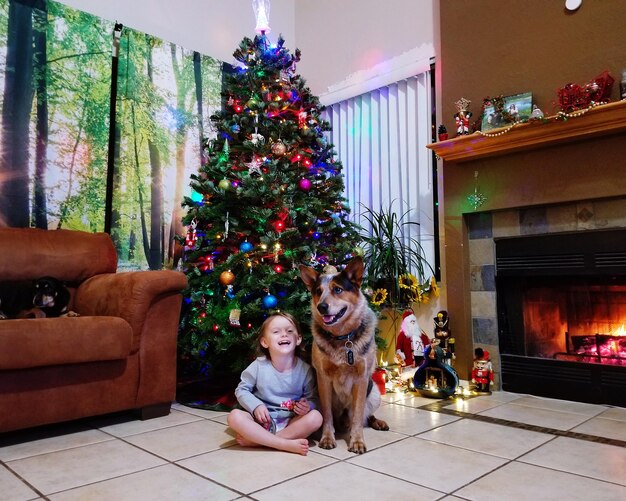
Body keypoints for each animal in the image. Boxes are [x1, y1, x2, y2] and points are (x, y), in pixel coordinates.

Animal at [298, 258, 386, 454]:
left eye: (337, 289)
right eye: (318, 291)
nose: (321, 307)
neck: (342, 338)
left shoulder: (361, 379)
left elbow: (358, 416)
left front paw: (357, 441)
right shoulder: (323, 378)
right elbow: (327, 415)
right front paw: (327, 438)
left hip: (374, 392)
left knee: (365, 416)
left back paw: (378, 422)